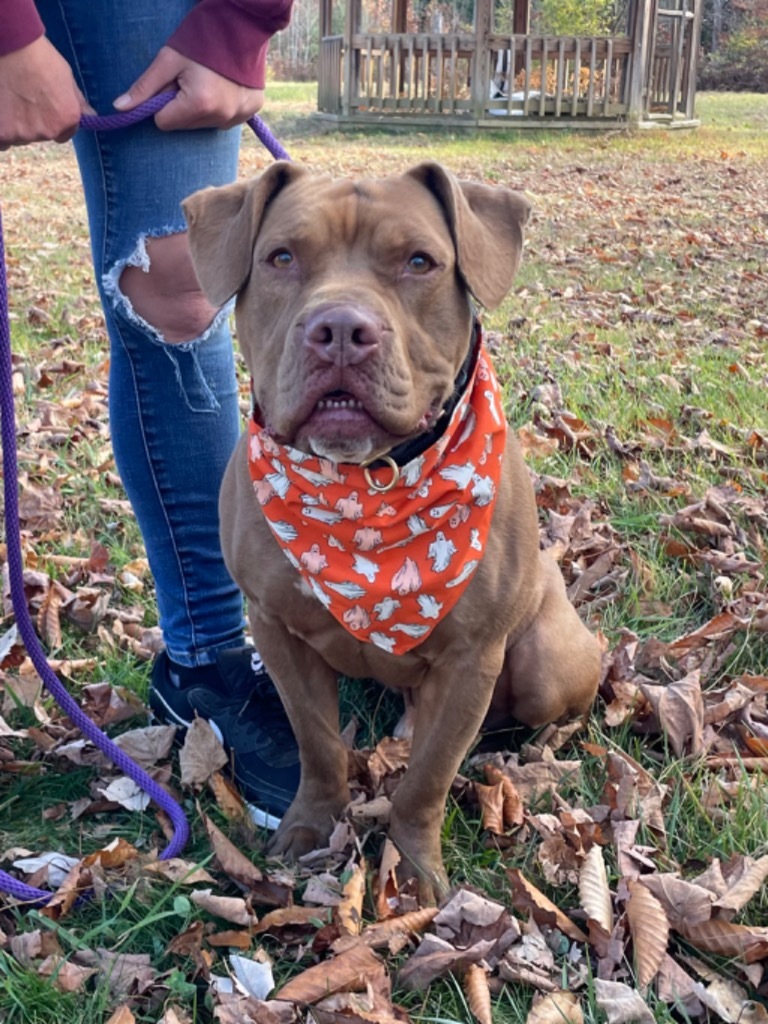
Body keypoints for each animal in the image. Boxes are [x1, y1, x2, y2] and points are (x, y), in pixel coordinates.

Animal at [183, 161, 606, 905]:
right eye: (281, 258)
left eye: (419, 262)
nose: (340, 328)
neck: (364, 491)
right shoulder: (276, 629)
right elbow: (319, 742)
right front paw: (310, 824)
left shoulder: (471, 659)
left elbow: (428, 777)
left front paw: (409, 868)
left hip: (545, 662)